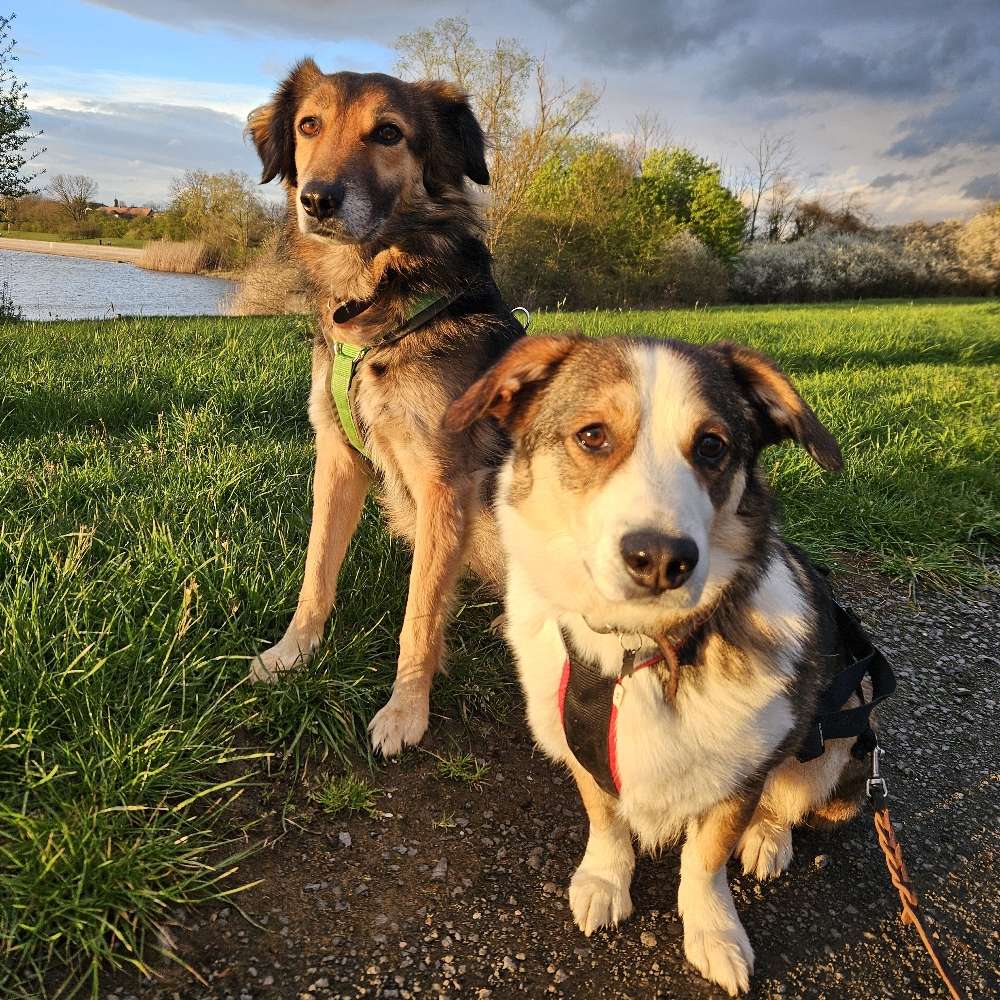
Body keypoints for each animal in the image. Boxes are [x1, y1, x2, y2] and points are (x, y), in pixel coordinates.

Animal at [245, 60, 520, 752]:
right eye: (308, 125)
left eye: (389, 133)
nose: (318, 200)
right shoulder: (338, 460)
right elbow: (317, 571)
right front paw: (292, 653)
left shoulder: (443, 483)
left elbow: (418, 616)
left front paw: (405, 711)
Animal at [446, 334, 876, 992]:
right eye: (592, 436)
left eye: (712, 445)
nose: (661, 560)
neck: (640, 649)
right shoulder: (582, 748)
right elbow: (605, 818)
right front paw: (604, 879)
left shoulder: (740, 775)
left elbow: (705, 860)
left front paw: (715, 934)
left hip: (841, 724)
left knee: (789, 798)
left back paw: (767, 840)